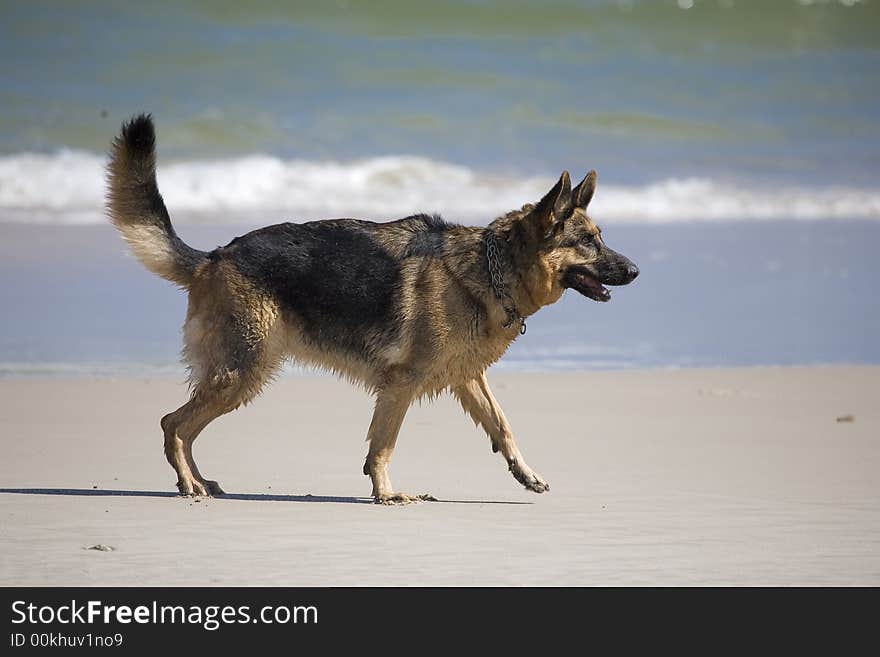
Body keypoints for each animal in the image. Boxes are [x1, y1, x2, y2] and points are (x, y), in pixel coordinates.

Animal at [106, 115, 640, 502]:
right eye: (588, 242)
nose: (636, 271)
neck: (488, 271)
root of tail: (214, 256)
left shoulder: (467, 378)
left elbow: (504, 427)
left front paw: (525, 474)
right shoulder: (401, 384)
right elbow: (383, 445)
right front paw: (385, 493)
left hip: (238, 376)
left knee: (183, 425)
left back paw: (201, 480)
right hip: (242, 372)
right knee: (173, 423)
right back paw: (188, 483)